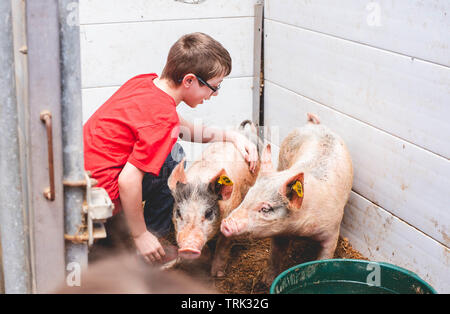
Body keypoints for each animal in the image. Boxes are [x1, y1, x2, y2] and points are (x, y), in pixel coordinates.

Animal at [220, 113, 354, 284]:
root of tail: (314, 124)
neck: (299, 229)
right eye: (248, 196)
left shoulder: (332, 230)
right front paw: (267, 281)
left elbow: (325, 255)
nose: (225, 224)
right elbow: (275, 254)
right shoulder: (279, 232)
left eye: (266, 208)